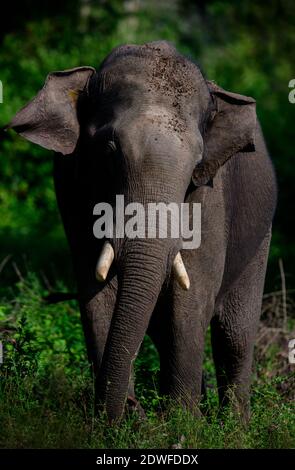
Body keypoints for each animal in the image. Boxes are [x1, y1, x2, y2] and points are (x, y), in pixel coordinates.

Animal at [8, 41, 278, 422]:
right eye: (108, 149)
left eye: (197, 165)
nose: (131, 409)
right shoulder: (71, 189)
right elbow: (96, 294)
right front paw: (121, 423)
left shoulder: (209, 197)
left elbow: (192, 298)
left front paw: (180, 424)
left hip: (260, 236)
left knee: (235, 335)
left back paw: (233, 425)